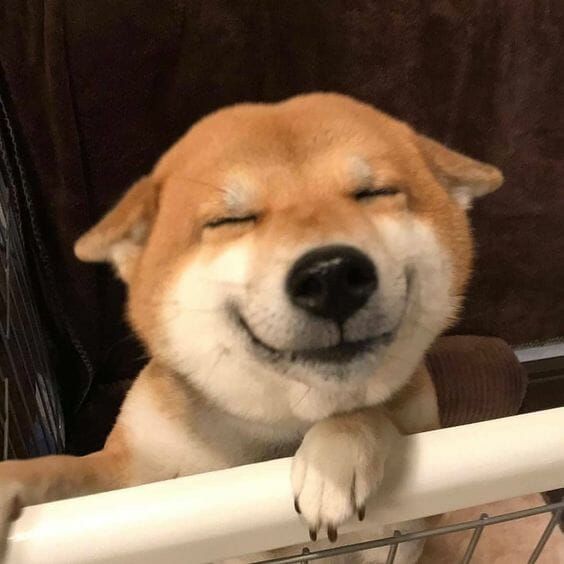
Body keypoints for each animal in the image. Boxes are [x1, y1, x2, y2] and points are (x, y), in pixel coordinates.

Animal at [0, 92, 502, 560]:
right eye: (231, 220)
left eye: (375, 193)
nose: (331, 275)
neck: (273, 428)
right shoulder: (133, 474)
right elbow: (63, 467)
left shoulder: (401, 530)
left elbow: (362, 413)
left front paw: (336, 453)